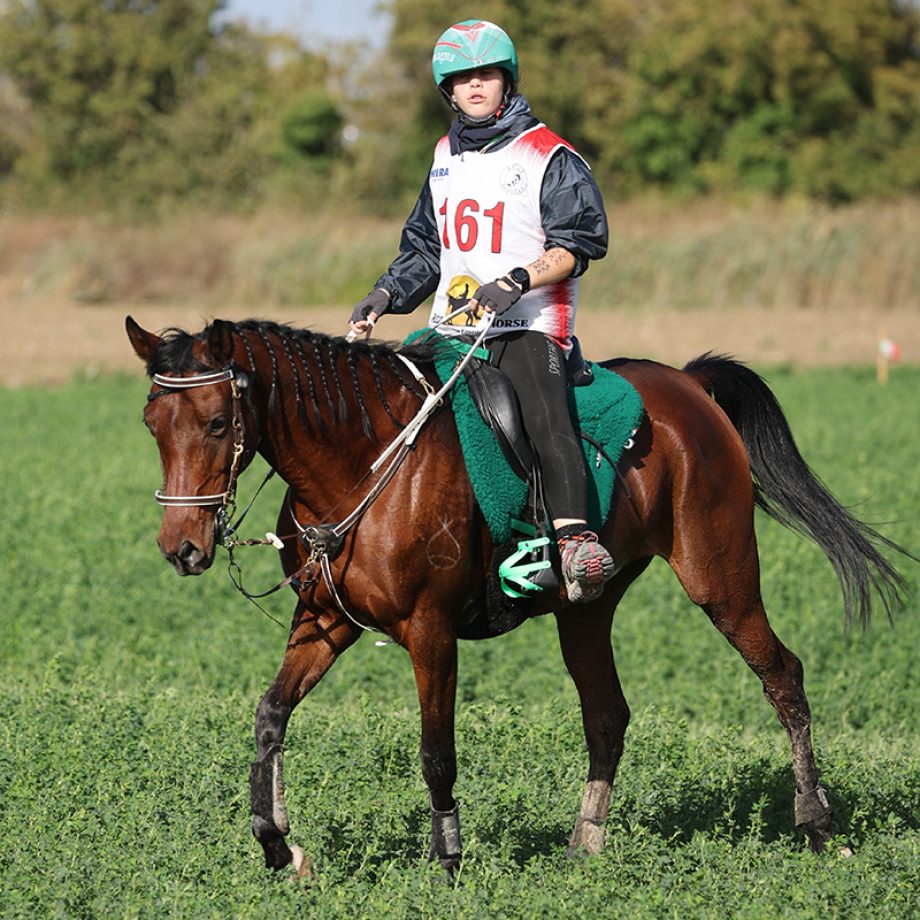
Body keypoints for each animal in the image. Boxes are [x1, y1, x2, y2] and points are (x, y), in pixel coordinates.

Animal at [124, 314, 904, 868]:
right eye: (150, 423)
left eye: (217, 423)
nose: (181, 549)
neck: (362, 464)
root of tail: (686, 385)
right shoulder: (323, 620)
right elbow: (269, 717)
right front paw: (279, 845)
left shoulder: (430, 629)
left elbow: (436, 749)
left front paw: (448, 864)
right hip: (587, 607)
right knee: (607, 714)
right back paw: (584, 846)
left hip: (722, 578)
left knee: (783, 676)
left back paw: (818, 824)